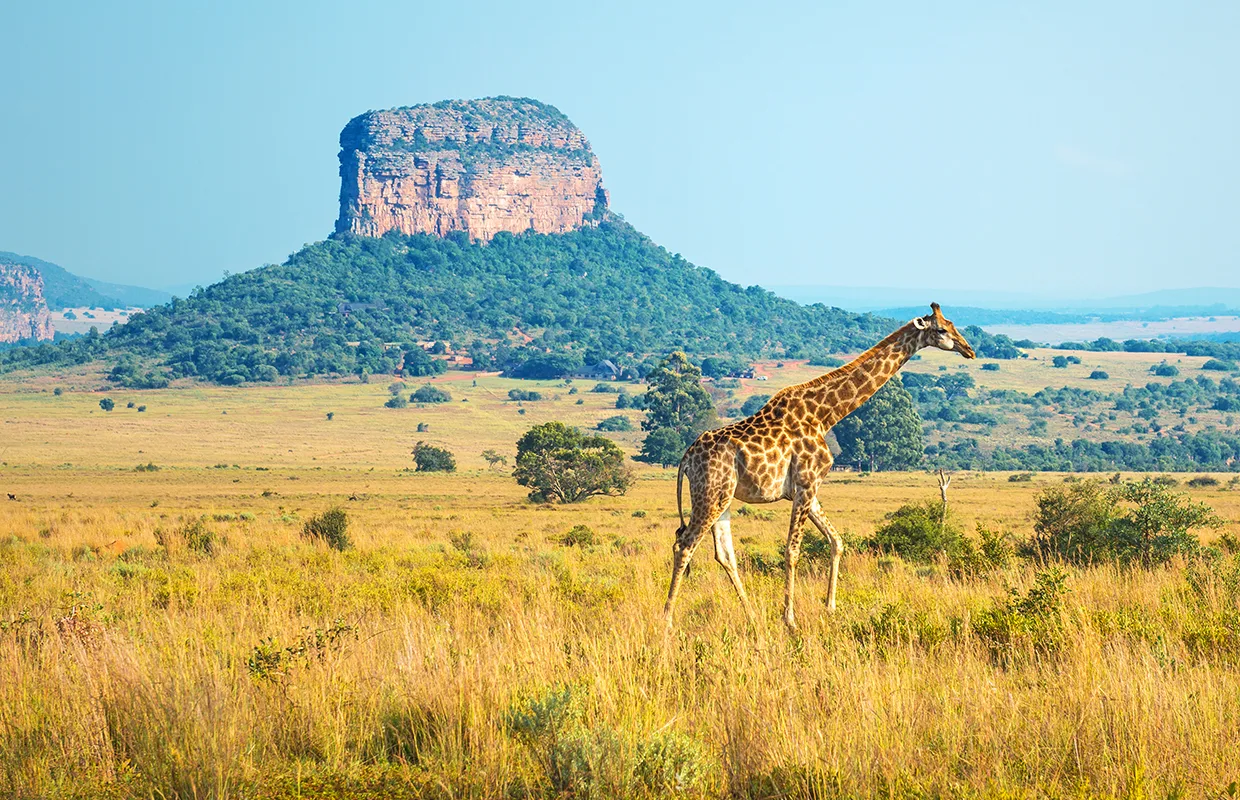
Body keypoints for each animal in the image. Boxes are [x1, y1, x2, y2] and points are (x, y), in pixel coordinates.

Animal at [663, 303, 976, 631]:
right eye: (941, 329)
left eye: (952, 324)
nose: (969, 350)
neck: (825, 415)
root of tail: (686, 457)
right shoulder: (806, 484)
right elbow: (792, 550)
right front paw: (789, 619)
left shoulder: (809, 489)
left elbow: (836, 541)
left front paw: (830, 607)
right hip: (711, 494)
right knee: (684, 545)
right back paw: (667, 620)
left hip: (723, 497)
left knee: (724, 554)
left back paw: (752, 617)